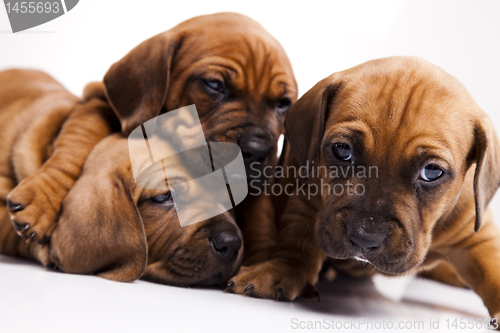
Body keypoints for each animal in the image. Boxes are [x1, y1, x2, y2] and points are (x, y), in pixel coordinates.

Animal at [229, 57, 500, 322]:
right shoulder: (306, 204)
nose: (364, 238)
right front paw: (280, 269)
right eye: (342, 150)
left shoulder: (477, 236)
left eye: (432, 172)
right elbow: (295, 241)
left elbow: (492, 269)